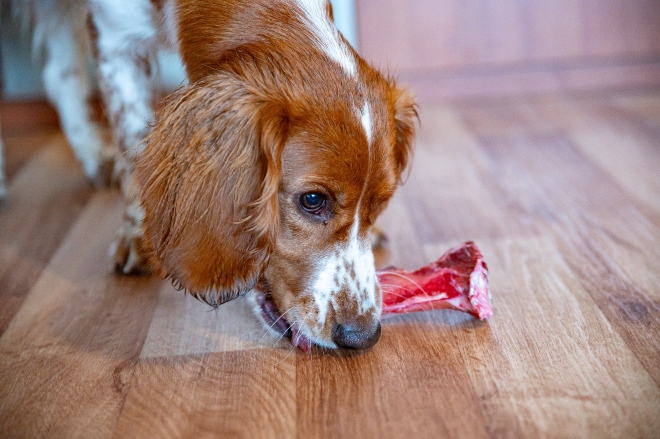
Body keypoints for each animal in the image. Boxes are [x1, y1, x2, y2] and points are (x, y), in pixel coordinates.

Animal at [3, 0, 418, 350]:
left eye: (380, 205)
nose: (362, 337)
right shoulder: (112, 38)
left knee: (59, 73)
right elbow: (133, 141)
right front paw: (139, 233)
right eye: (312, 200)